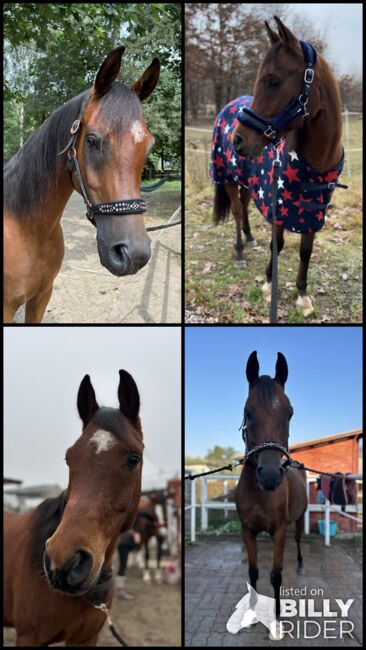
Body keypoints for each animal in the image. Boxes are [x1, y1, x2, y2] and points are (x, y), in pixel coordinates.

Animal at [213, 15, 344, 316]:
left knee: (244, 204)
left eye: (273, 80)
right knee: (236, 211)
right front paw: (268, 284)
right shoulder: (279, 207)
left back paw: (250, 238)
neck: (316, 164)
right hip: (226, 177)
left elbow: (305, 251)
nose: (238, 140)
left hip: (246, 179)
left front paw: (303, 296)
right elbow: (278, 244)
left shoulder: (313, 211)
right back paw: (240, 250)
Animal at [234, 350, 306, 636]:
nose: (271, 475)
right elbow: (253, 572)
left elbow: (275, 574)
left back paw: (300, 564)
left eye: (290, 413)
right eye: (248, 412)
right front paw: (251, 609)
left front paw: (276, 618)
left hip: (298, 520)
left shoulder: (279, 530)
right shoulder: (247, 530)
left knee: (298, 541)